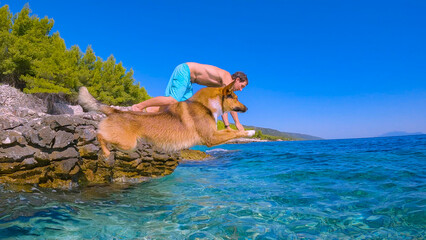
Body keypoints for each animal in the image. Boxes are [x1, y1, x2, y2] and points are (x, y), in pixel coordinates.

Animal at [78, 82, 255, 158]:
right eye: (236, 98)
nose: (247, 108)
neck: (205, 104)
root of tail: (115, 110)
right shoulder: (210, 138)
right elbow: (234, 133)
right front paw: (250, 132)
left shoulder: (213, 134)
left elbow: (230, 131)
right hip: (128, 143)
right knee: (99, 135)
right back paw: (105, 150)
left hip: (128, 146)